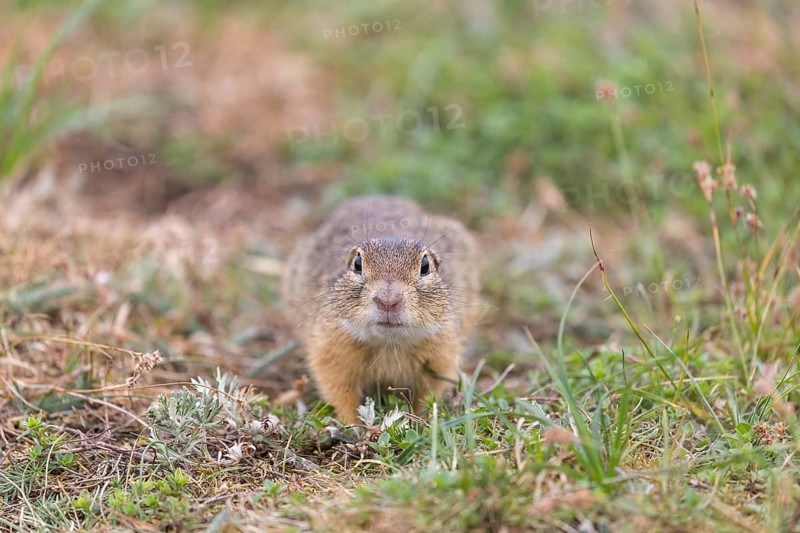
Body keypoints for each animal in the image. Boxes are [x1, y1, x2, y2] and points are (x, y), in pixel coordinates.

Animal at [281, 195, 479, 424]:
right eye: (357, 263)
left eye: (425, 265)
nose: (388, 301)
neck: (388, 344)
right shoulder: (329, 352)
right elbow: (341, 394)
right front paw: (351, 424)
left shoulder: (441, 357)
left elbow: (428, 394)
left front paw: (422, 421)